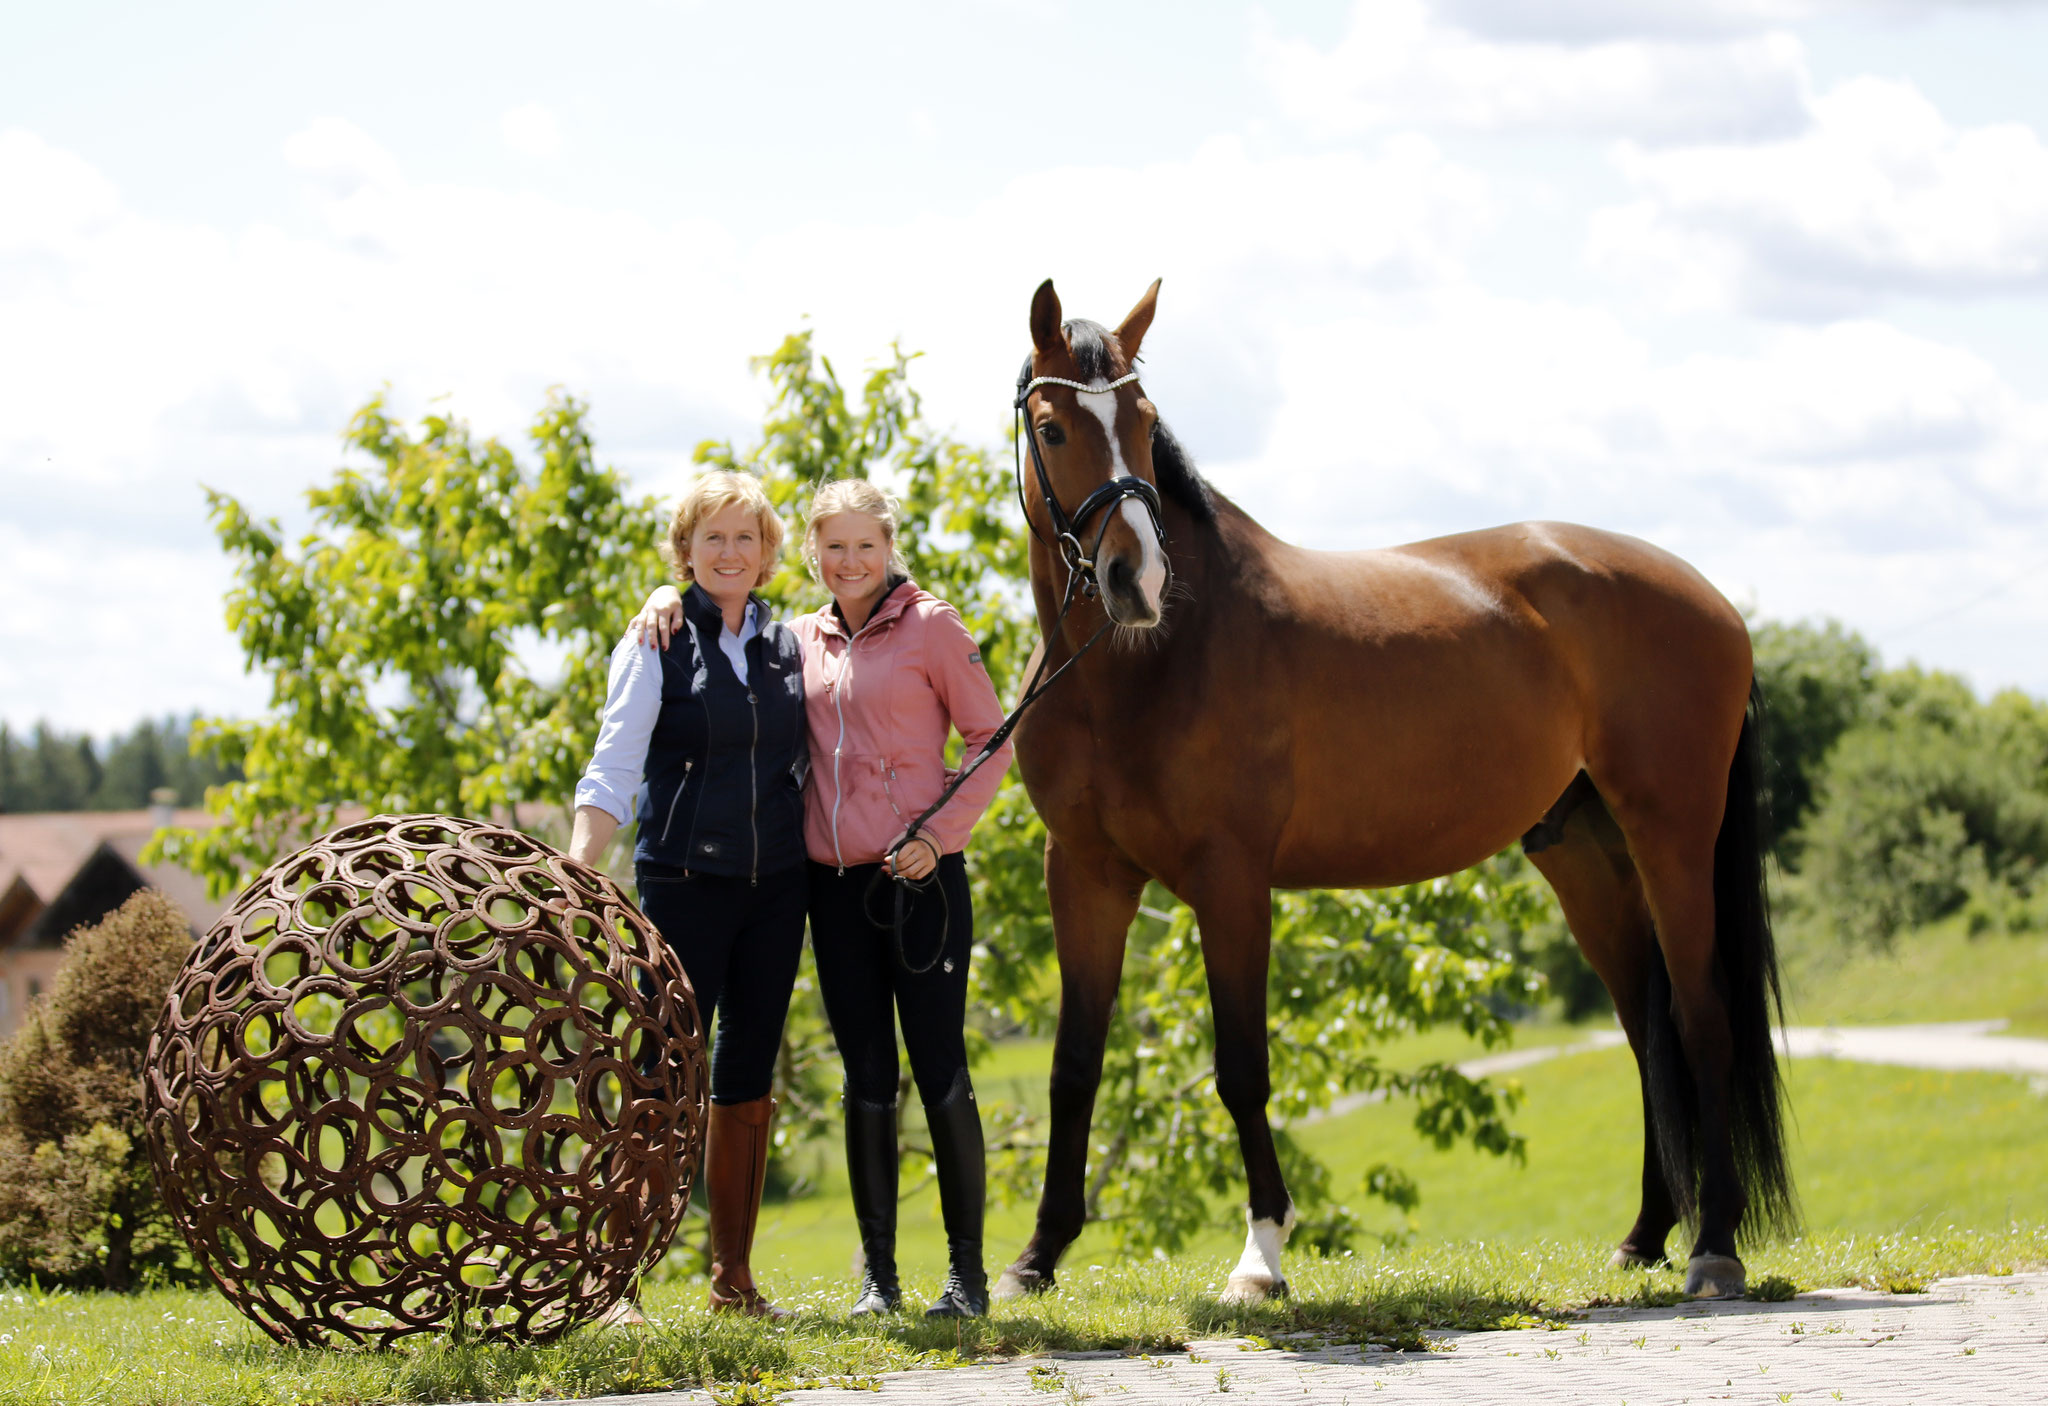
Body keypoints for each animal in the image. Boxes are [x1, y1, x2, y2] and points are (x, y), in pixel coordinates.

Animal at [995, 278, 1794, 1309]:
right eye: (1053, 428)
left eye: (1142, 420)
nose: (1139, 577)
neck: (1147, 661)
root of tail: (1714, 602)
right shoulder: (1085, 876)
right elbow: (1073, 1069)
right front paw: (1035, 1258)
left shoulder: (1230, 879)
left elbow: (1241, 1069)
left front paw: (1261, 1257)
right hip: (1587, 859)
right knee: (1649, 1039)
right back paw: (1645, 1237)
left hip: (1673, 840)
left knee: (1701, 1023)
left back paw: (1714, 1248)